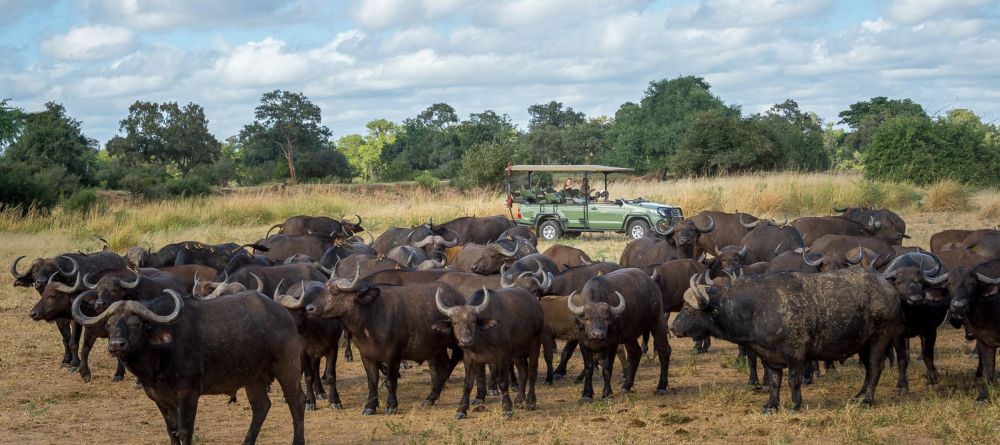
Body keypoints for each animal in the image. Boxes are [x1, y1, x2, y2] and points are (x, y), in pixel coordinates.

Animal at [73, 290, 302, 442]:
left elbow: (185, 430)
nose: (116, 345)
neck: (159, 356)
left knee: (296, 404)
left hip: (288, 368)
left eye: (135, 323)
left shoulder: (188, 395)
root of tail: (284, 314)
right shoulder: (160, 398)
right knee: (261, 406)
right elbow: (171, 430)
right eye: (109, 325)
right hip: (252, 377)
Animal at [304, 272, 464, 414]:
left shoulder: (394, 355)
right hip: (437, 348)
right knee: (444, 367)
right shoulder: (366, 355)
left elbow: (390, 381)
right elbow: (372, 380)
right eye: (324, 289)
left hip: (455, 343)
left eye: (335, 292)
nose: (309, 308)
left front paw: (391, 406)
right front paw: (370, 406)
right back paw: (430, 398)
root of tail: (459, 298)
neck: (370, 317)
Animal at [436, 286, 544, 418]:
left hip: (535, 344)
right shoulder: (469, 358)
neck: (481, 338)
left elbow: (502, 383)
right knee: (523, 372)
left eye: (474, 321)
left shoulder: (502, 356)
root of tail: (536, 304)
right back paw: (519, 400)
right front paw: (461, 410)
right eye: (454, 322)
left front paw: (507, 408)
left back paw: (530, 402)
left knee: (533, 372)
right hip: (516, 352)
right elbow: (468, 384)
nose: (465, 341)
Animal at [568, 268, 668, 398]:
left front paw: (607, 393)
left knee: (664, 350)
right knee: (635, 353)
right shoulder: (582, 343)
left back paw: (661, 387)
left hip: (657, 321)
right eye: (587, 318)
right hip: (630, 335)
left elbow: (607, 368)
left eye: (606, 318)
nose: (598, 334)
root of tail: (652, 283)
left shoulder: (613, 343)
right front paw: (587, 394)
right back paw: (626, 386)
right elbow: (589, 368)